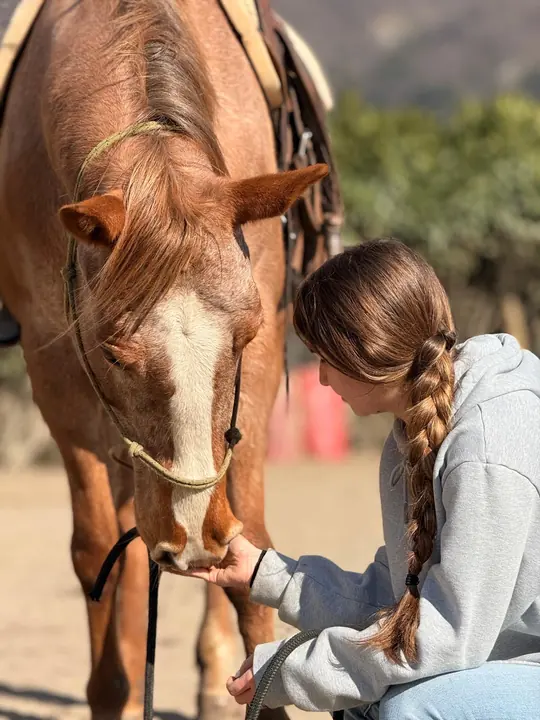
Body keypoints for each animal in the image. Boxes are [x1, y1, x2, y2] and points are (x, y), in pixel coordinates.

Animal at [0, 1, 328, 718]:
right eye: (113, 349)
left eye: (243, 337)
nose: (191, 535)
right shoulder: (57, 371)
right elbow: (98, 551)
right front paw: (113, 692)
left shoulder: (261, 358)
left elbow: (251, 552)